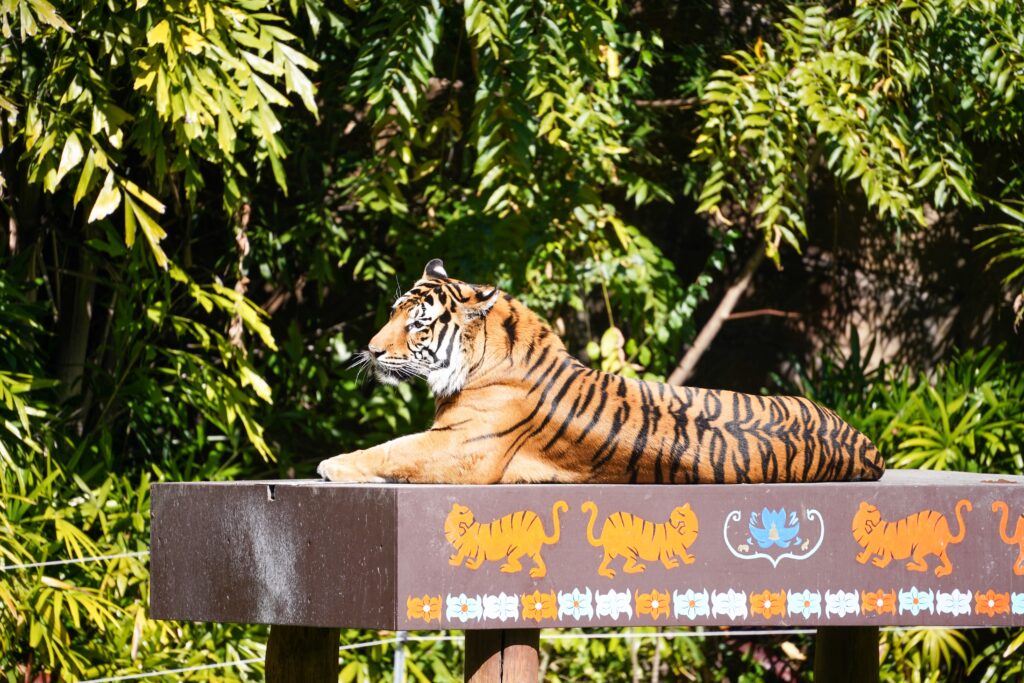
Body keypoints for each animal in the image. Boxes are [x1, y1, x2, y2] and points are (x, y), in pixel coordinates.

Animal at [317, 259, 885, 484]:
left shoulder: (460, 446)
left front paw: (331, 464)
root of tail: (867, 445)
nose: (370, 349)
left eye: (417, 324)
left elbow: (393, 450)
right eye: (393, 312)